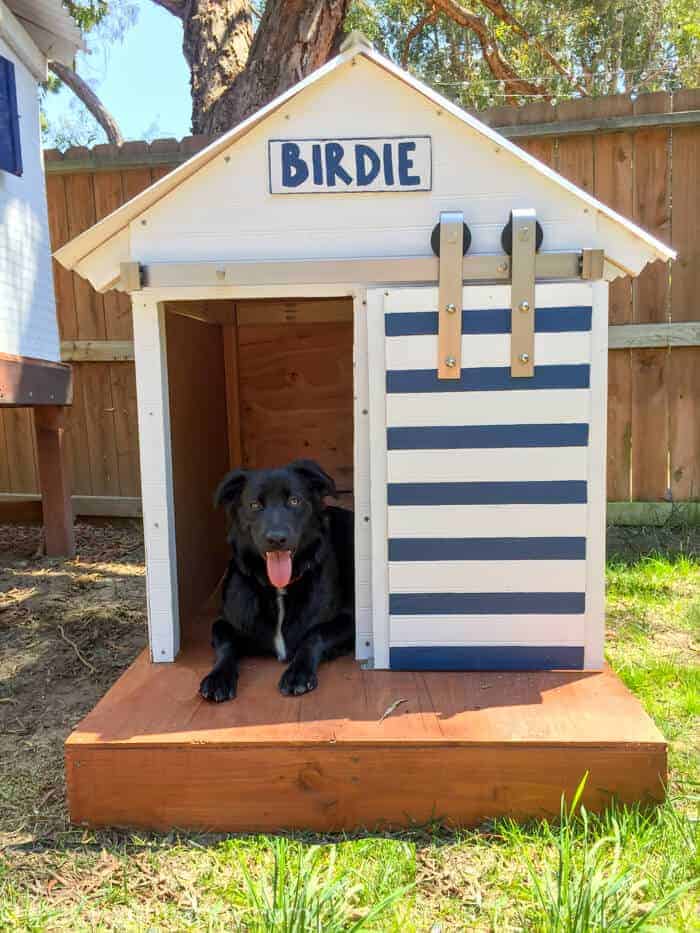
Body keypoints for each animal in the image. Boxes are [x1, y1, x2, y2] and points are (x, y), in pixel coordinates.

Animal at [201, 458, 356, 700]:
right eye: (254, 505)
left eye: (294, 501)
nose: (276, 539)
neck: (278, 589)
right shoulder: (223, 622)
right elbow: (226, 643)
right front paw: (219, 677)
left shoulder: (350, 619)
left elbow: (315, 634)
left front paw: (297, 673)